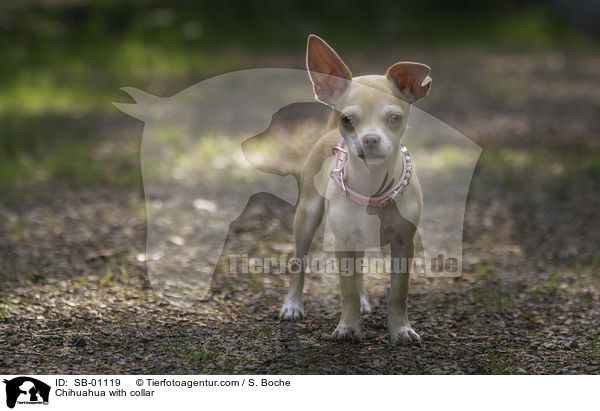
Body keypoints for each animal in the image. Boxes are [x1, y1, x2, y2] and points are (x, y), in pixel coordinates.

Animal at [282, 35, 432, 346]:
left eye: (395, 118)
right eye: (348, 120)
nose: (370, 139)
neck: (373, 185)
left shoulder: (404, 245)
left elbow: (398, 292)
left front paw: (400, 329)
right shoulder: (342, 243)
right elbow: (346, 289)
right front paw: (349, 327)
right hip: (307, 217)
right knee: (298, 261)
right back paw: (292, 304)